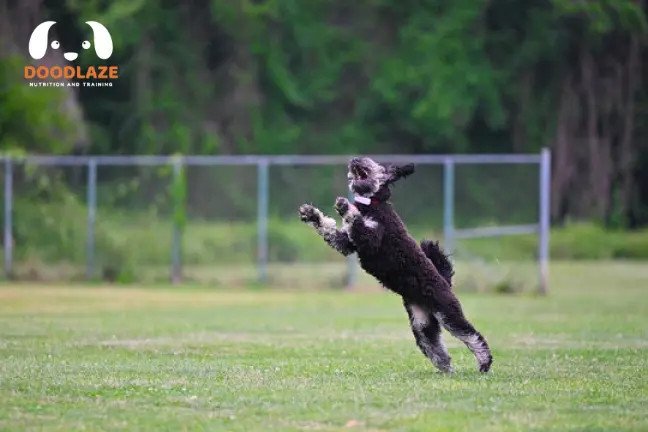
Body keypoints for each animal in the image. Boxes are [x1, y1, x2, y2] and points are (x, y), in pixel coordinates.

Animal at [298, 157, 492, 372]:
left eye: (370, 161)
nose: (354, 159)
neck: (373, 204)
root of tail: (445, 282)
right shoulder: (347, 244)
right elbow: (328, 228)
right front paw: (311, 213)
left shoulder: (371, 238)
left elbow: (355, 220)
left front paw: (345, 206)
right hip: (421, 322)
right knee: (434, 346)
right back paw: (445, 368)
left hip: (447, 312)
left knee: (473, 336)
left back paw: (484, 362)